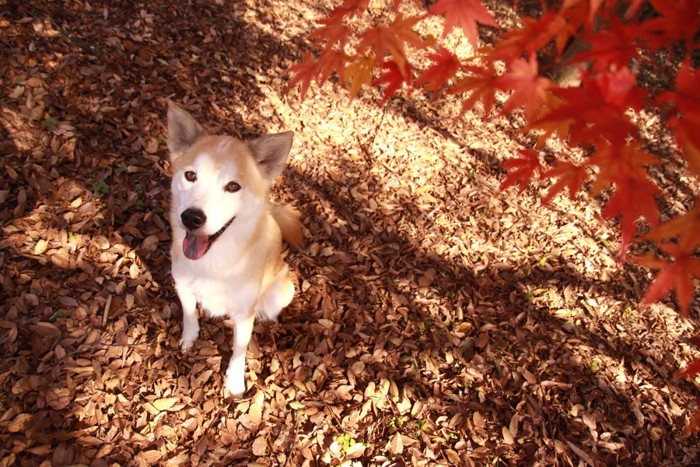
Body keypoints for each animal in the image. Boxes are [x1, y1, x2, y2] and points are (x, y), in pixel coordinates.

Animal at [170, 101, 304, 394]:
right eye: (190, 175)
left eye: (233, 186)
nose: (191, 217)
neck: (214, 265)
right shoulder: (183, 287)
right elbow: (189, 315)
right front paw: (189, 338)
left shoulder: (244, 316)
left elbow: (239, 351)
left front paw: (234, 381)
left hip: (283, 291)